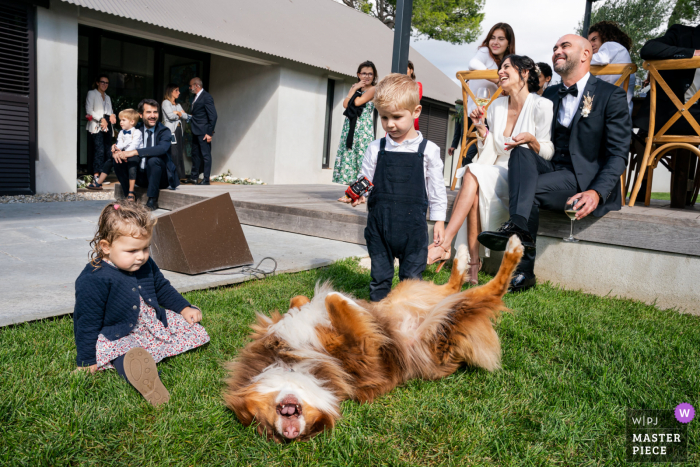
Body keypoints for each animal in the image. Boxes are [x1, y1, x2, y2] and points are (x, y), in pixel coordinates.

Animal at [224, 238, 524, 442]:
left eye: (261, 420)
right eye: (265, 429)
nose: (289, 434)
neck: (289, 359)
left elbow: (305, 301)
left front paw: (319, 301)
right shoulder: (364, 353)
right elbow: (338, 308)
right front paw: (339, 299)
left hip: (410, 295)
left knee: (452, 286)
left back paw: (463, 255)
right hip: (446, 317)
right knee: (491, 289)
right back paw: (510, 249)